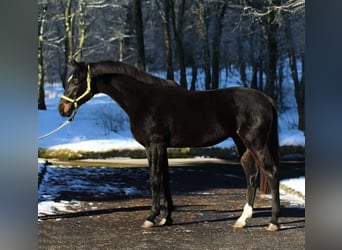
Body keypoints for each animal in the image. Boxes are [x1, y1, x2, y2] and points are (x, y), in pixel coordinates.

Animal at [58, 59, 280, 231]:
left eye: (76, 80)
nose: (63, 108)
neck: (142, 99)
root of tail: (266, 99)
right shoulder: (163, 147)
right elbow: (165, 180)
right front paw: (167, 218)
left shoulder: (154, 145)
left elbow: (155, 179)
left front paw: (151, 217)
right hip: (242, 144)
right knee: (251, 176)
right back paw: (242, 220)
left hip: (255, 142)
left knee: (271, 173)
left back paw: (273, 222)